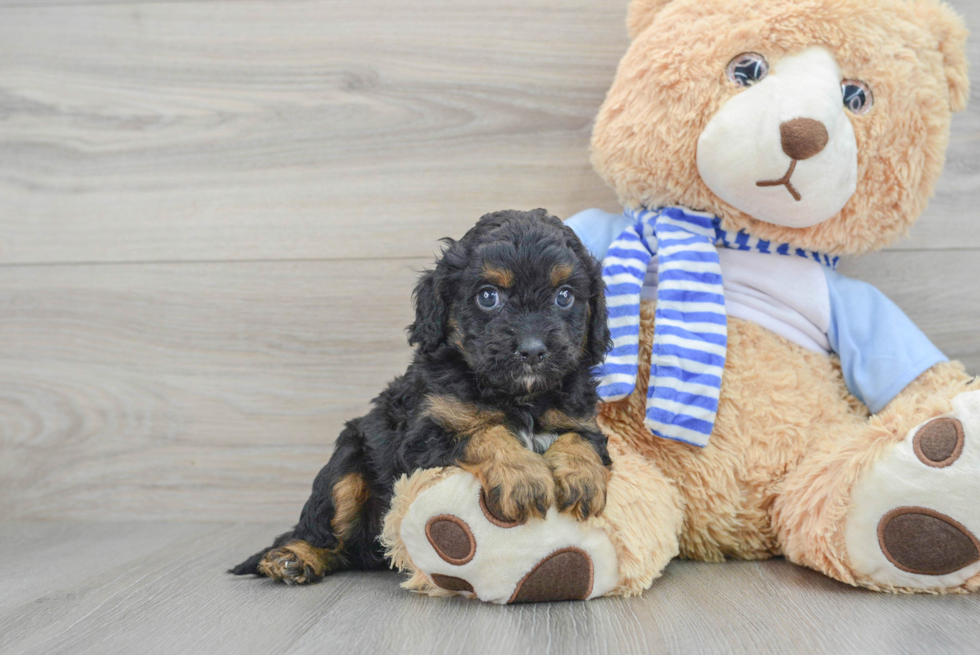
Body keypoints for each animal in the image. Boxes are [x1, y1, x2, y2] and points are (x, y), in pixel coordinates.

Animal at [233, 209, 608, 584]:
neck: (518, 396)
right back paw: (295, 557)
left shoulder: (583, 420)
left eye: (564, 296)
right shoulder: (421, 438)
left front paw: (583, 478)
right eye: (488, 297)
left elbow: (579, 439)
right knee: (327, 533)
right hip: (347, 464)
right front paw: (523, 476)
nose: (532, 350)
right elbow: (485, 432)